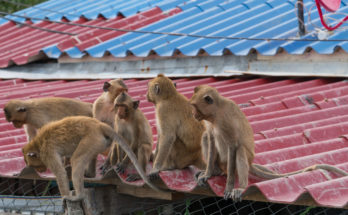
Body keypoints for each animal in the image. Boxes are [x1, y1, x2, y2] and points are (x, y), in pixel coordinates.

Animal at [22, 116, 164, 203]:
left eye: (34, 166)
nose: (41, 170)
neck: (38, 143)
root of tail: (99, 125)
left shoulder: (47, 152)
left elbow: (60, 173)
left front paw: (65, 197)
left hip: (92, 138)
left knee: (77, 159)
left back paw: (79, 195)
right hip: (99, 141)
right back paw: (89, 174)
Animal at [190, 85, 348, 202]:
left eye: (195, 107)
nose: (193, 114)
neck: (216, 113)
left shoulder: (226, 120)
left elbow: (233, 145)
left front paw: (229, 186)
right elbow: (210, 138)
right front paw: (208, 173)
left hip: (240, 161)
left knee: (240, 150)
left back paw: (241, 186)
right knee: (206, 137)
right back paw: (216, 171)